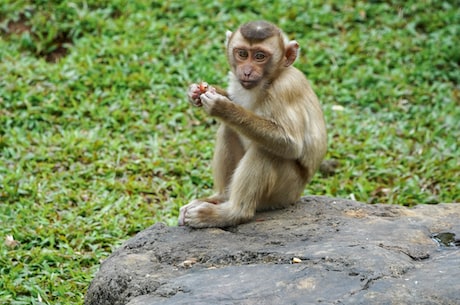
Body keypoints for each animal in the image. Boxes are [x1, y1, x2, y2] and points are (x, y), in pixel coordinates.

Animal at [180, 20, 328, 227]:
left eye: (260, 57)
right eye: (242, 54)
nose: (247, 71)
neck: (269, 81)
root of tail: (296, 197)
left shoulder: (286, 88)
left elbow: (291, 144)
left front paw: (222, 108)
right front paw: (196, 92)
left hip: (284, 193)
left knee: (266, 151)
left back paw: (231, 213)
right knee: (229, 129)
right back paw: (221, 198)